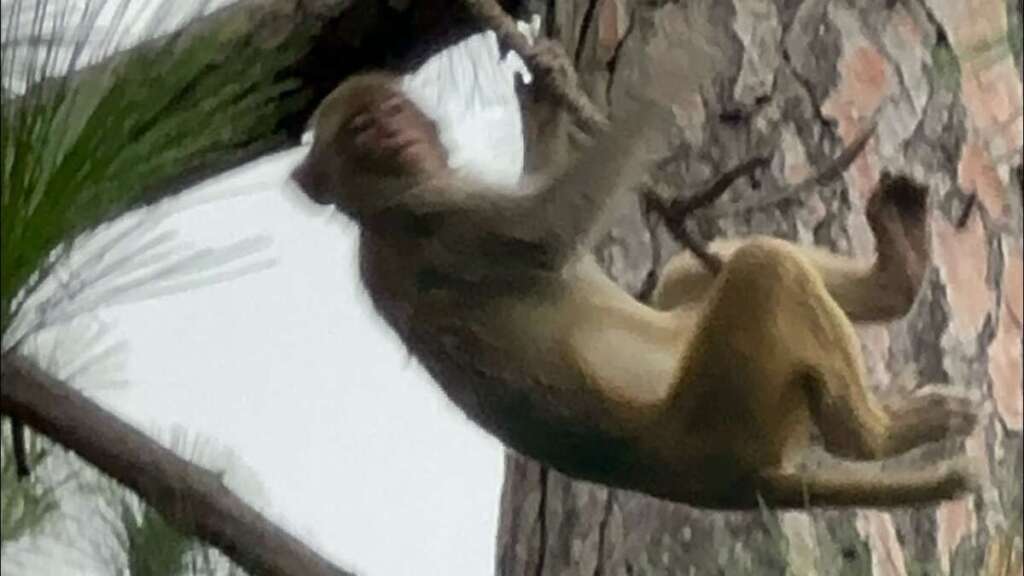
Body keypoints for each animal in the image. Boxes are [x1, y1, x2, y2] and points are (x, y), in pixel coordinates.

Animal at [291, 69, 978, 510]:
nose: (392, 134)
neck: (378, 209)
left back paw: (896, 277)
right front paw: (671, 71)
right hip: (724, 414)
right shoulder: (439, 214)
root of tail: (705, 482)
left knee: (697, 273)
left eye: (387, 114)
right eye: (360, 130)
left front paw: (544, 113)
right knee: (763, 270)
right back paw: (874, 433)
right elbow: (549, 230)